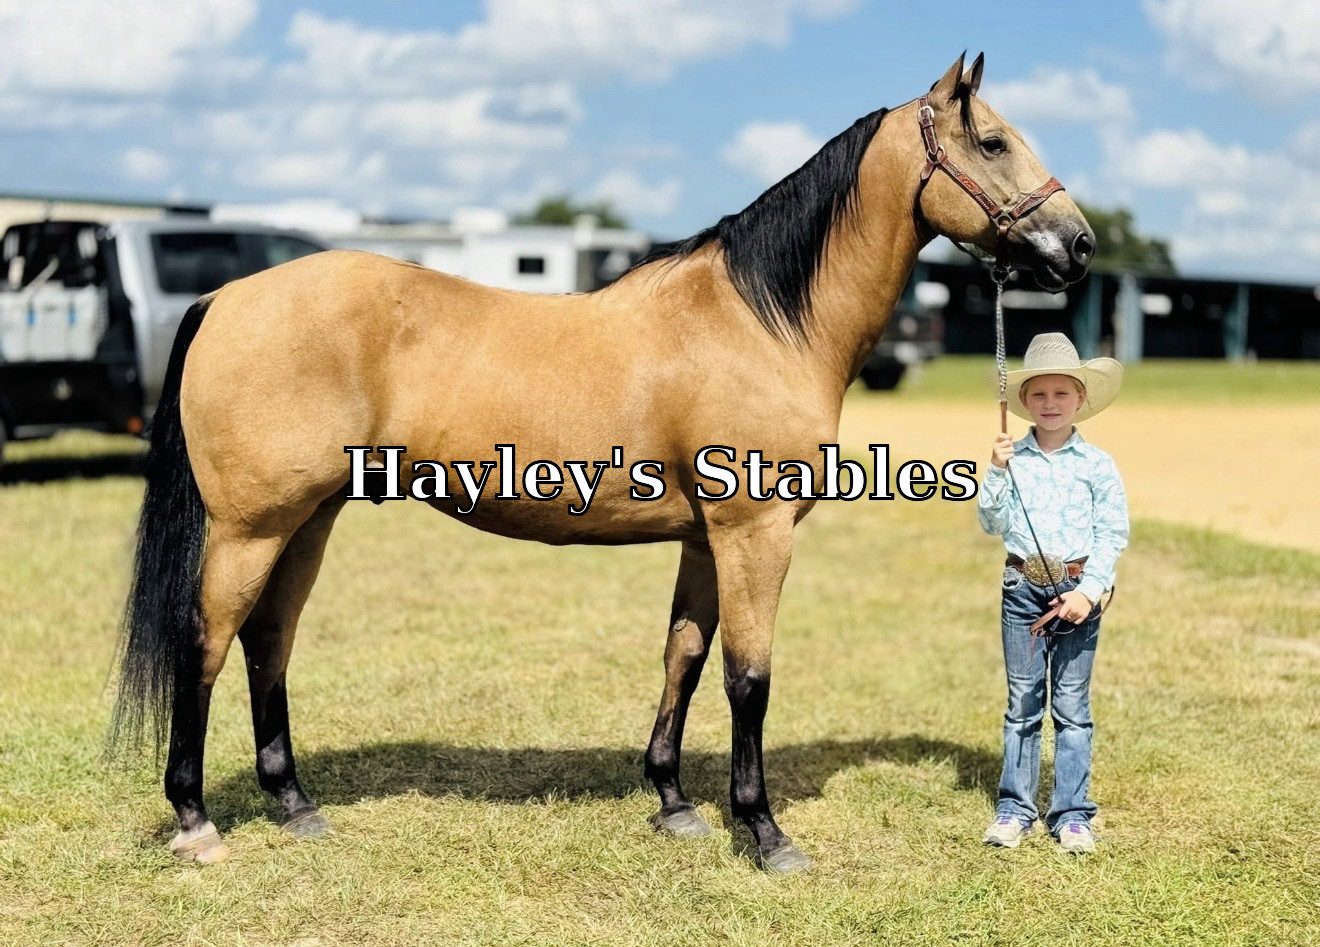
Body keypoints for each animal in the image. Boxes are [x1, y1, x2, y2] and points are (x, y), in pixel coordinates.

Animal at [111, 53, 1094, 872]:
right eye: (994, 141)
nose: (1079, 243)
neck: (760, 322)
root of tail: (227, 296)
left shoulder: (705, 539)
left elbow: (683, 657)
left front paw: (673, 801)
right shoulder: (755, 534)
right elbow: (749, 677)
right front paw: (764, 832)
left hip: (308, 518)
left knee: (268, 639)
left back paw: (294, 803)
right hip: (251, 526)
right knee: (204, 641)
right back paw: (196, 821)